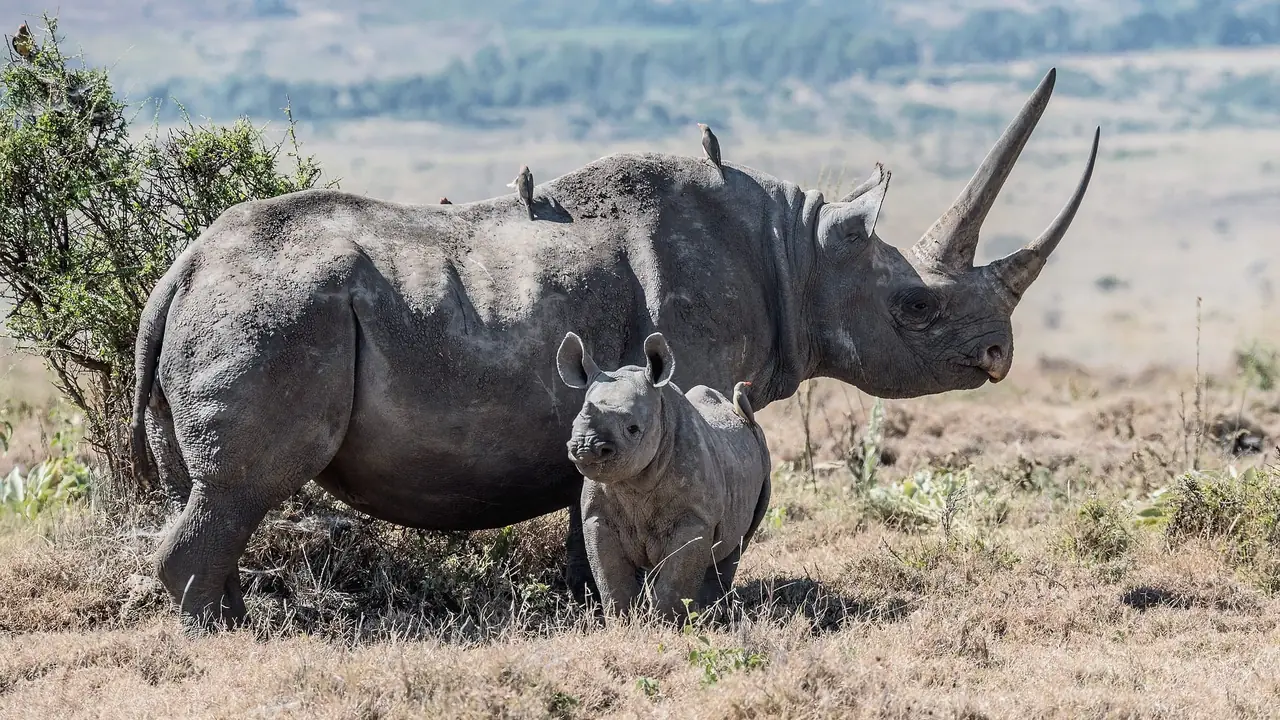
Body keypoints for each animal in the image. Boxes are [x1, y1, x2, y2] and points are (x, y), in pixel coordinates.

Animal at [558, 331, 771, 620]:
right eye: (573, 424)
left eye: (633, 429)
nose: (585, 448)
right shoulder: (597, 516)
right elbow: (611, 577)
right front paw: (623, 621)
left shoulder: (696, 518)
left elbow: (675, 579)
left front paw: (666, 623)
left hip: (762, 457)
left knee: (737, 544)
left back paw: (710, 613)